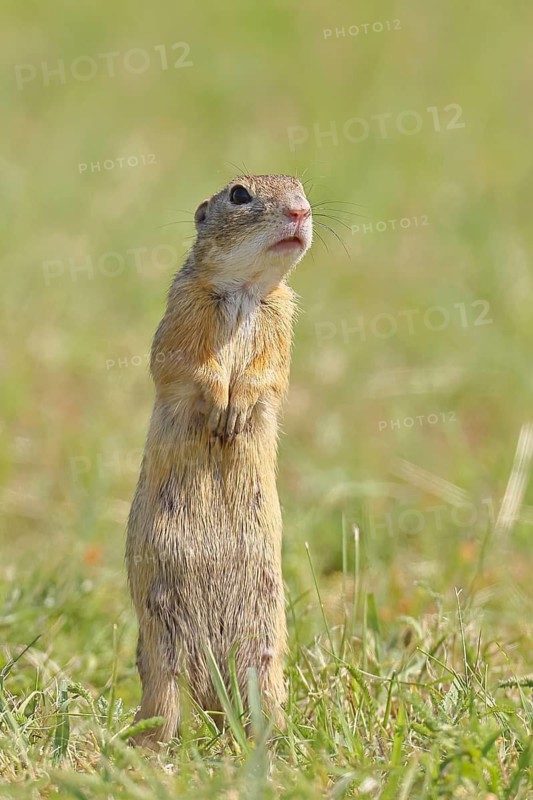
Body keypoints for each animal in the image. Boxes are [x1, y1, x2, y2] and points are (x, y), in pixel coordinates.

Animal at [125, 174, 313, 747]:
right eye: (239, 194)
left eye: (301, 186)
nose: (301, 212)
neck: (245, 291)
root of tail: (211, 689)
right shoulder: (185, 308)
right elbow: (186, 363)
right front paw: (218, 403)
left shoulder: (280, 318)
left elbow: (267, 373)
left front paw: (236, 410)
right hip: (161, 651)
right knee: (164, 701)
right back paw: (148, 749)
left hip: (266, 655)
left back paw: (273, 742)